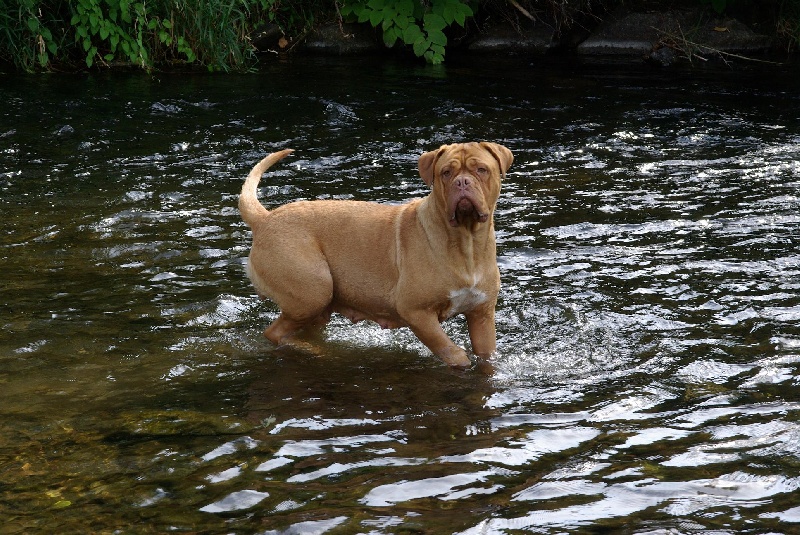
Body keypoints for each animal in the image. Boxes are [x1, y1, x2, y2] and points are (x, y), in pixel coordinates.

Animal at [239, 142, 512, 368]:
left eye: (481, 169)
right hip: (313, 292)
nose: (462, 182)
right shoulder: (416, 311)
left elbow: (485, 355)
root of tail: (265, 219)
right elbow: (451, 351)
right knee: (274, 333)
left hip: (317, 308)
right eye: (446, 172)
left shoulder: (482, 316)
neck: (467, 243)